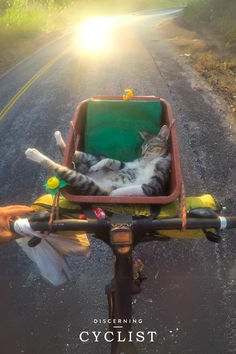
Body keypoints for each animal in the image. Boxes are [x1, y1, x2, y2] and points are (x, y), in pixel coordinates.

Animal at [24, 125, 171, 198]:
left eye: (150, 147)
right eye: (142, 147)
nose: (142, 154)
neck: (149, 161)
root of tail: (79, 170)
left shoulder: (154, 187)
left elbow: (134, 188)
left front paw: (114, 194)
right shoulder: (128, 164)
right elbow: (111, 160)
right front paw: (97, 166)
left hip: (82, 180)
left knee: (57, 166)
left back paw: (33, 154)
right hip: (90, 158)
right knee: (71, 152)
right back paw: (57, 137)